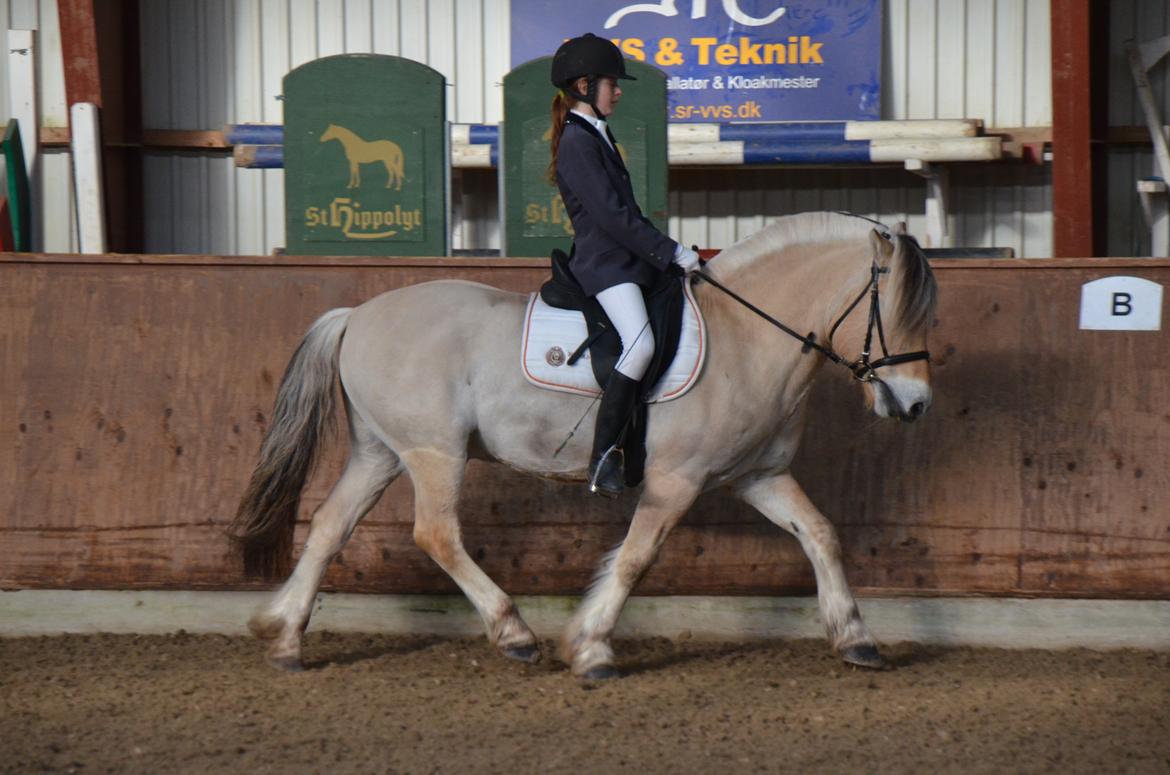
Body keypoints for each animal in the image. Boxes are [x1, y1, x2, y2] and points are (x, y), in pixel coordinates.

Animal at [232, 213, 935, 679]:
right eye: (901, 311)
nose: (917, 405)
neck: (746, 334)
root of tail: (356, 315)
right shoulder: (676, 481)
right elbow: (636, 559)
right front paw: (591, 647)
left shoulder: (758, 476)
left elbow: (820, 534)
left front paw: (856, 639)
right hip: (435, 453)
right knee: (436, 534)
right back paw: (513, 634)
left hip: (380, 452)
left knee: (329, 526)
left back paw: (285, 637)